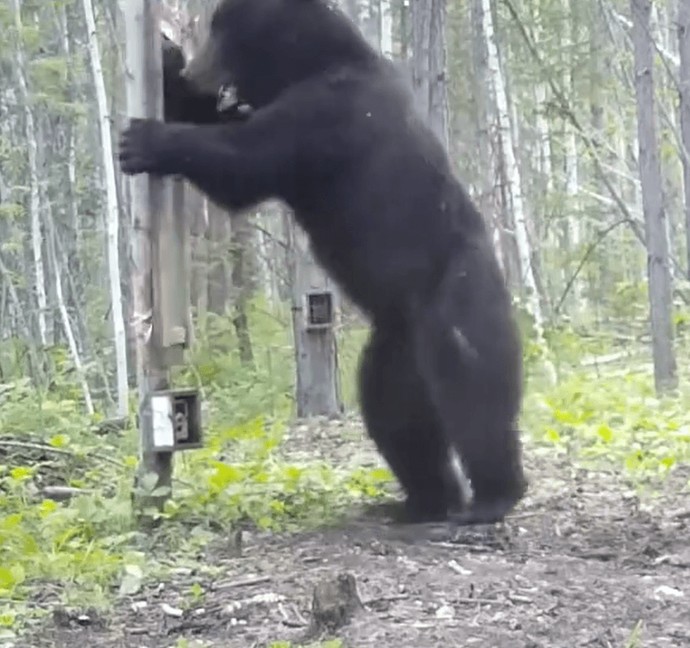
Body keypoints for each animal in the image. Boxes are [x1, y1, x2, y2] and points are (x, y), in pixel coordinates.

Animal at [119, 0, 528, 524]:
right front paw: (166, 61)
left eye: (219, 29)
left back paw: (492, 496)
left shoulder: (326, 116)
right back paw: (423, 501)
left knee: (473, 394)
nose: (197, 67)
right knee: (393, 409)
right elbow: (220, 125)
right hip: (395, 346)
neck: (309, 64)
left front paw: (146, 140)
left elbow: (244, 159)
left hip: (456, 297)